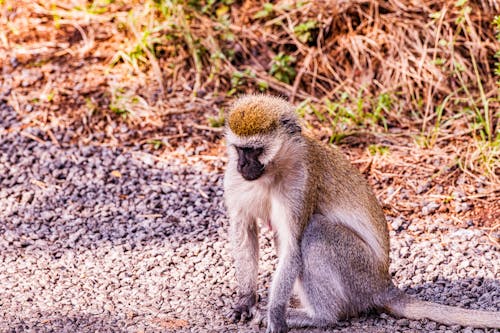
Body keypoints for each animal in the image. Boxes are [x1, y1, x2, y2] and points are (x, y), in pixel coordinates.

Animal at [224, 94, 500, 330]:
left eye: (255, 150)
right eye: (239, 149)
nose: (242, 165)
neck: (271, 173)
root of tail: (383, 285)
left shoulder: (300, 183)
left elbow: (293, 247)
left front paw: (275, 313)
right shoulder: (235, 181)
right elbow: (245, 232)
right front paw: (245, 301)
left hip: (360, 274)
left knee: (316, 232)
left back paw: (320, 317)